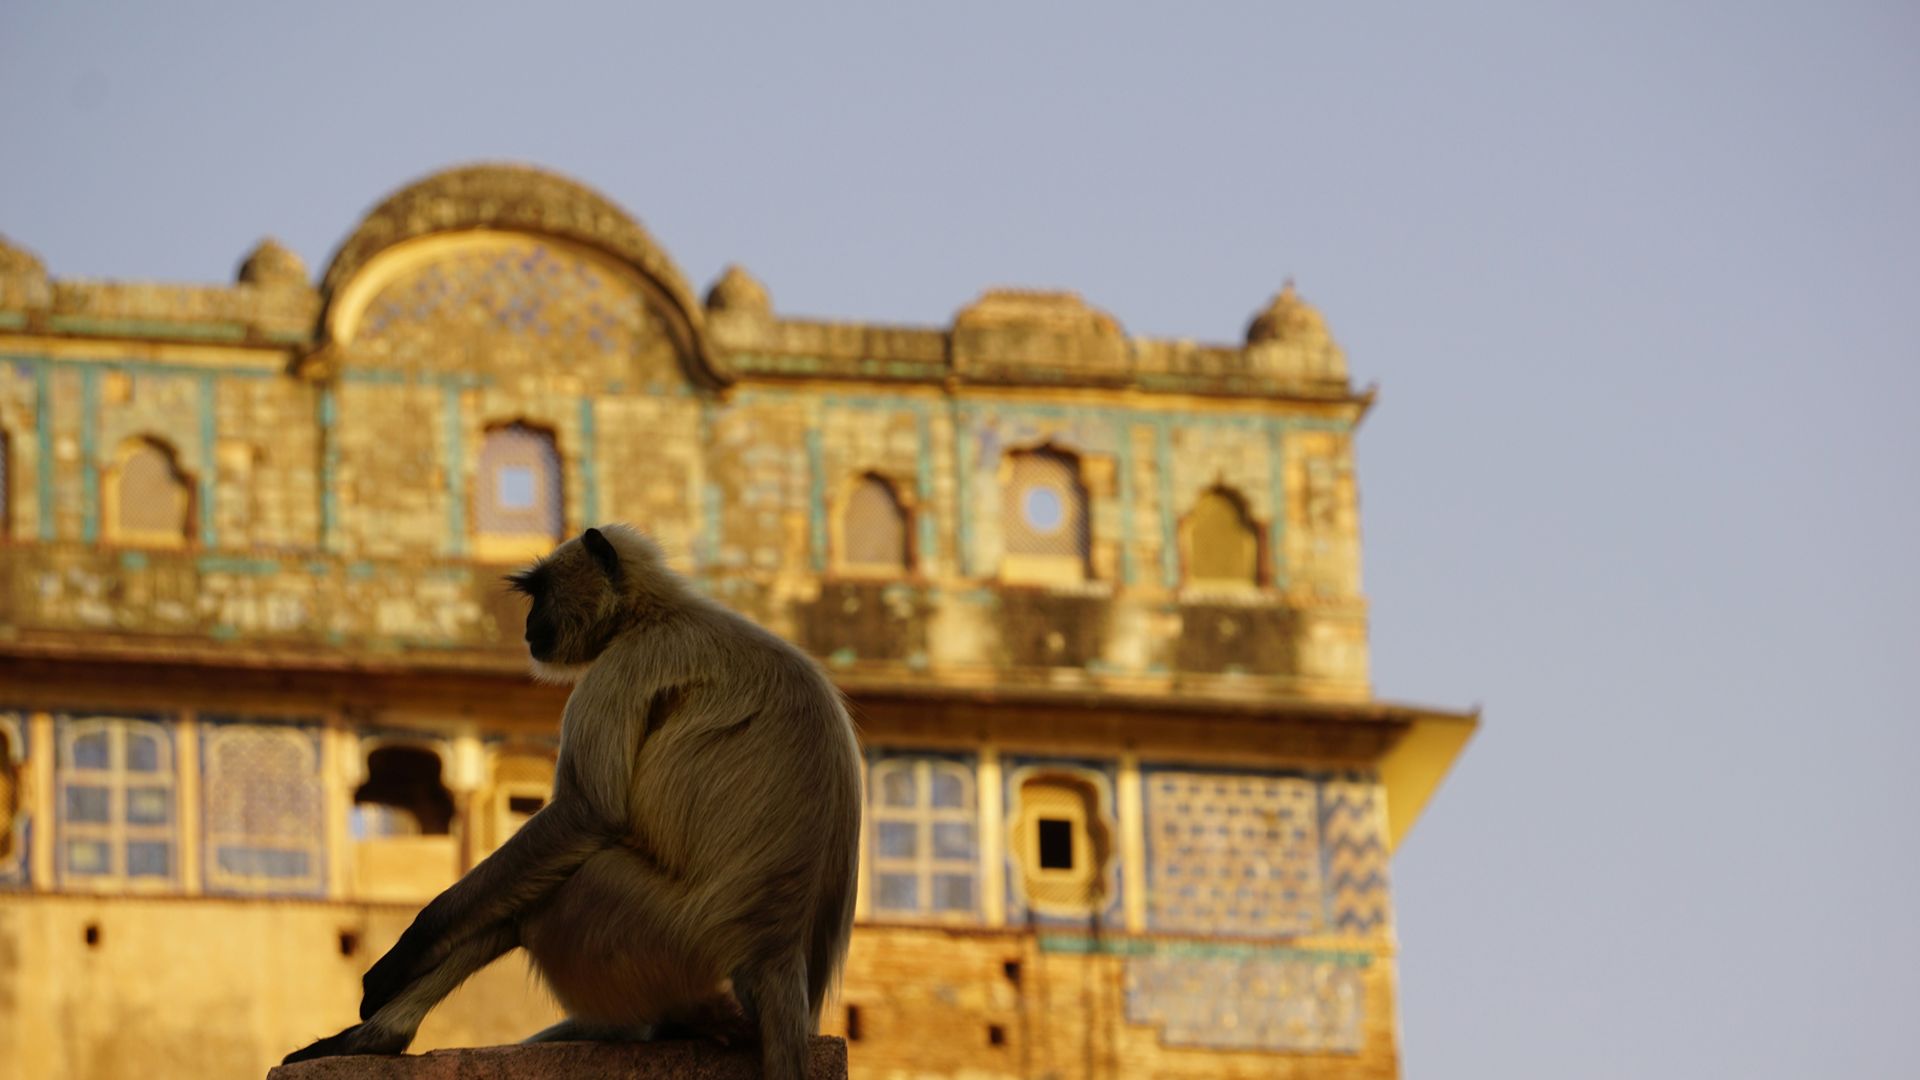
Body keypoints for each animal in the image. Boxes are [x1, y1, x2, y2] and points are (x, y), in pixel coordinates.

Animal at [284, 525, 863, 1080]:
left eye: (541, 592)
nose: (527, 623)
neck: (653, 612)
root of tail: (777, 959)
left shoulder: (620, 667)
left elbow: (586, 813)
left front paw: (401, 956)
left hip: (668, 934)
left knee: (552, 892)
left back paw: (380, 1037)